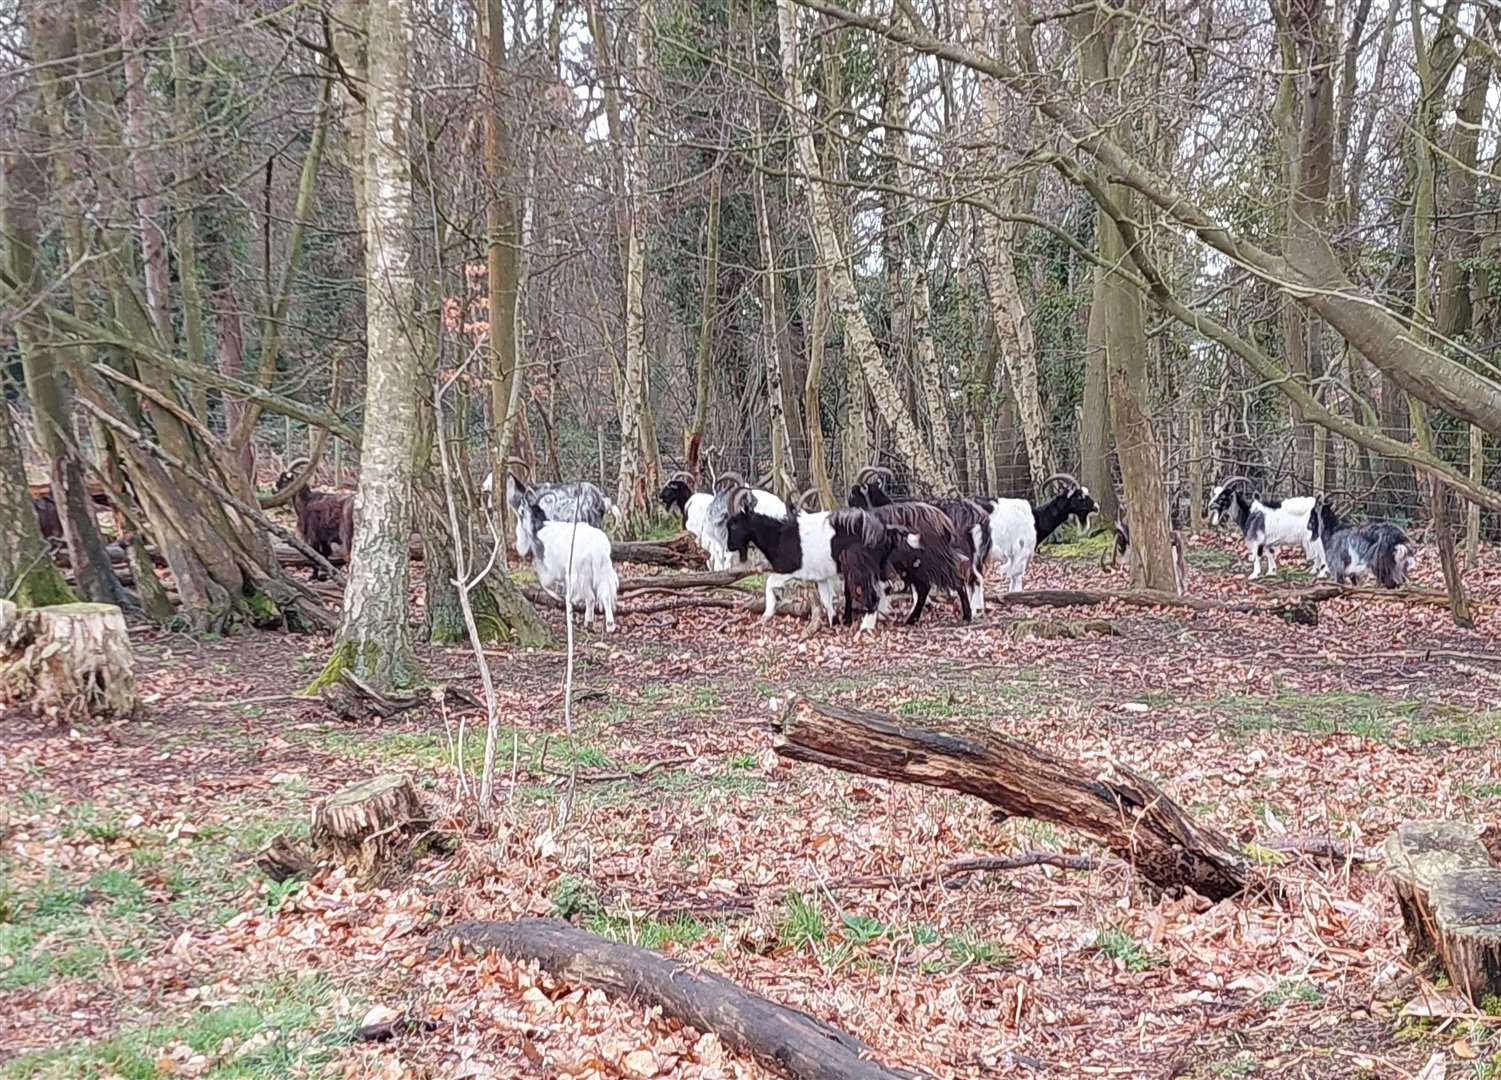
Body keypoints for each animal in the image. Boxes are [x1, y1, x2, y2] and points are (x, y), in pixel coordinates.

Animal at [510, 495, 615, 630]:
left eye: (520, 512)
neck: (539, 528)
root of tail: (597, 547)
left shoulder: (553, 569)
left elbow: (544, 582)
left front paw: (559, 598)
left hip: (582, 573)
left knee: (591, 597)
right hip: (602, 569)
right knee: (605, 595)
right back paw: (606, 624)